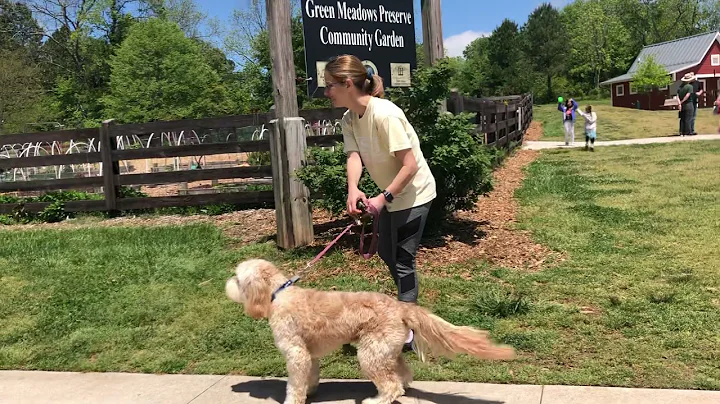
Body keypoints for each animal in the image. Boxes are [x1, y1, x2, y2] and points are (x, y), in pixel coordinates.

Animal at [225, 258, 512, 404]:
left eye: (238, 279)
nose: (226, 283)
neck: (277, 294)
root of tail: (401, 306)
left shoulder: (296, 354)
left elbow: (294, 383)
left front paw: (294, 399)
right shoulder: (310, 354)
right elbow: (310, 376)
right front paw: (310, 391)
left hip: (370, 353)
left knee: (391, 386)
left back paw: (378, 400)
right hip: (386, 349)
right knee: (403, 374)